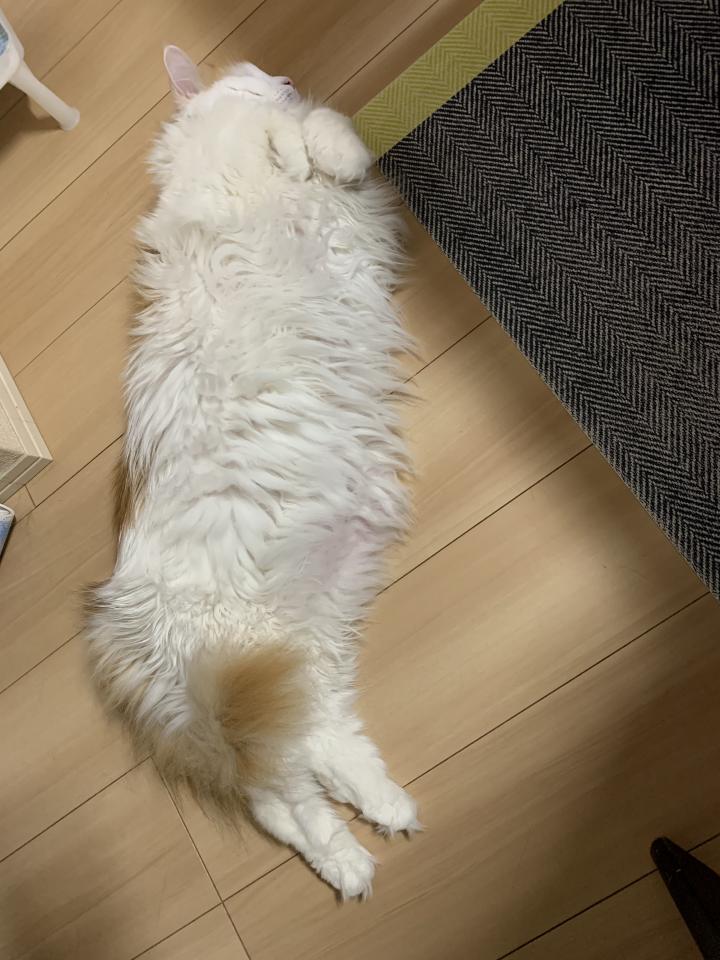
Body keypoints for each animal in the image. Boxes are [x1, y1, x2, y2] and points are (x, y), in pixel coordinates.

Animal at [84, 46, 419, 900]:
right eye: (259, 71)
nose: (288, 78)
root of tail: (116, 632)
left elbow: (324, 142)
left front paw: (305, 142)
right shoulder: (245, 155)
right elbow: (322, 132)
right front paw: (305, 140)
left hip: (294, 661)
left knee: (299, 768)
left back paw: (379, 820)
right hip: (250, 667)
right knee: (281, 793)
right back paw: (354, 859)